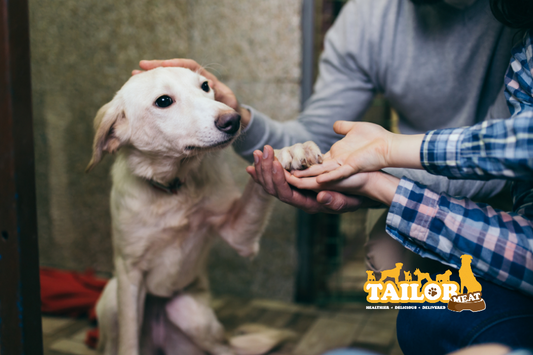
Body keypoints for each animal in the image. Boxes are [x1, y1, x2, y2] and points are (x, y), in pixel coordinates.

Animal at [87, 67, 320, 355]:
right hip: (112, 296)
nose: (233, 119)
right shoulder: (129, 273)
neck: (173, 189)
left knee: (226, 350)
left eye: (206, 86)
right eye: (163, 101)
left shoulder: (239, 235)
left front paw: (288, 151)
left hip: (192, 315)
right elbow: (129, 342)